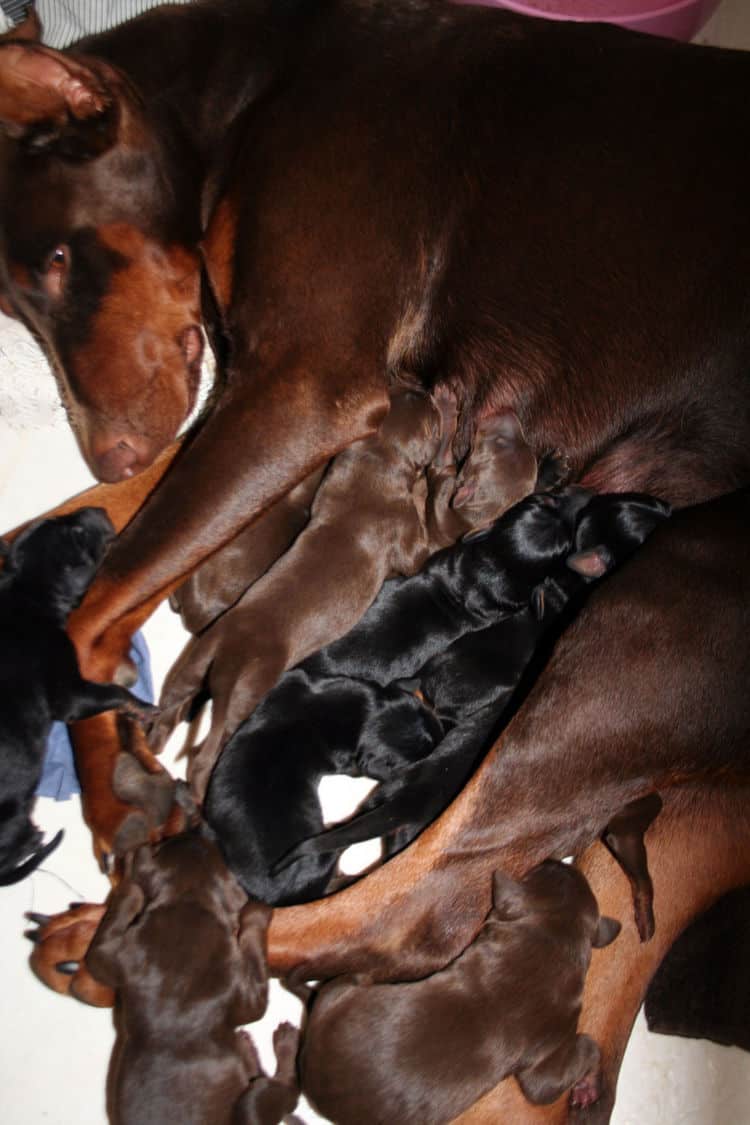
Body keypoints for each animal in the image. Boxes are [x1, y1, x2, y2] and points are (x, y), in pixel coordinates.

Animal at [0, 510, 155, 886]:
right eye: (78, 532)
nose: (100, 509)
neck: (23, 593)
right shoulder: (68, 693)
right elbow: (113, 692)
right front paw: (142, 708)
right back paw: (33, 839)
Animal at [154, 391, 539, 796]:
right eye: (499, 443)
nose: (419, 391)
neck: (373, 472)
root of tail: (225, 642)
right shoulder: (413, 535)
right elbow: (435, 486)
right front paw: (449, 413)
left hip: (193, 665)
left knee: (170, 704)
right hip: (244, 688)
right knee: (204, 754)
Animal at [299, 859, 620, 1125]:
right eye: (540, 870)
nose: (556, 860)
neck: (549, 942)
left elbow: (563, 1069)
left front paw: (588, 1086)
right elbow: (551, 1078)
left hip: (342, 987)